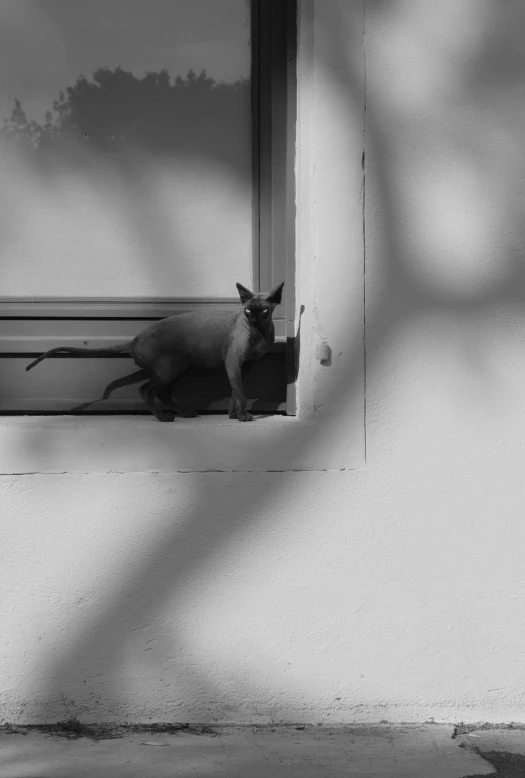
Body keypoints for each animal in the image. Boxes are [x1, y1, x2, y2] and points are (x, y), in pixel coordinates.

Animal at [25, 280, 282, 422]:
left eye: (263, 311)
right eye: (248, 311)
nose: (254, 321)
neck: (258, 334)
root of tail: (134, 340)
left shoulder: (244, 365)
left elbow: (236, 392)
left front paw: (232, 415)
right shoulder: (232, 362)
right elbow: (240, 393)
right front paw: (243, 417)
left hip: (177, 367)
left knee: (163, 393)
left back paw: (184, 413)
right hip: (172, 368)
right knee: (146, 390)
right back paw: (163, 418)